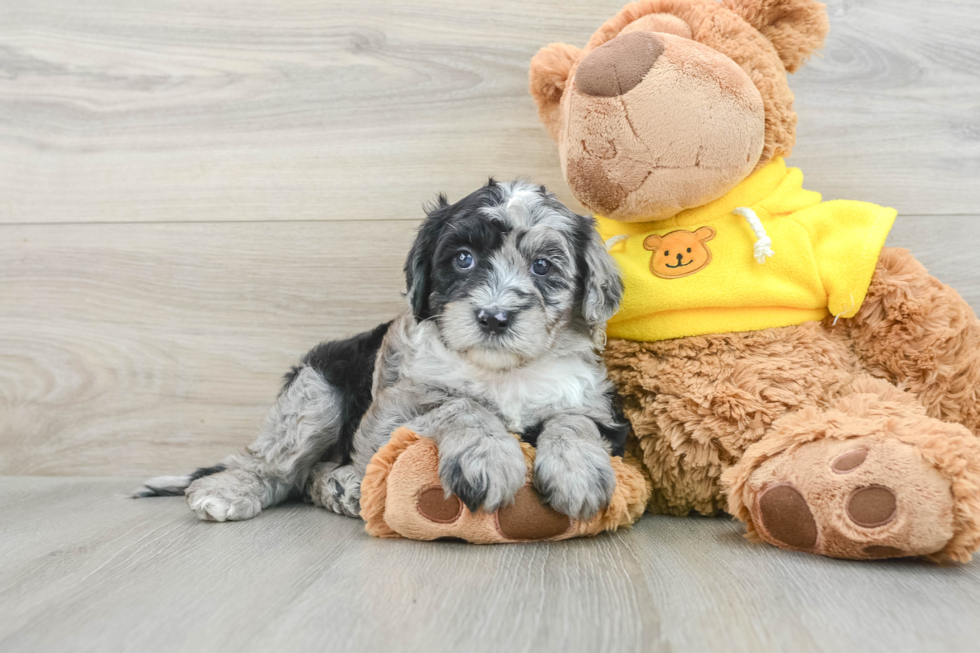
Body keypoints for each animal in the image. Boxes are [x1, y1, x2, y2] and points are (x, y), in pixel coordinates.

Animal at [136, 181, 628, 524]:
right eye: (463, 258)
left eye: (542, 266)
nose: (493, 316)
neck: (502, 371)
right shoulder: (391, 413)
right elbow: (459, 404)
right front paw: (487, 456)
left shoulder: (601, 411)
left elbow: (572, 419)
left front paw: (579, 471)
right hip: (315, 390)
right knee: (276, 465)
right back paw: (231, 491)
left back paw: (342, 488)